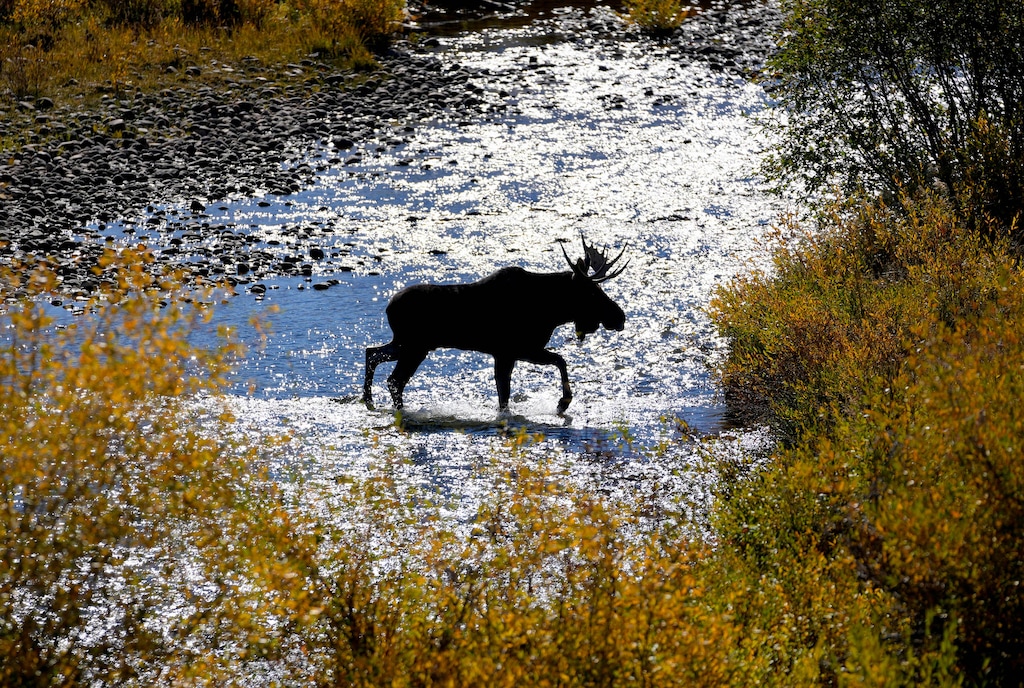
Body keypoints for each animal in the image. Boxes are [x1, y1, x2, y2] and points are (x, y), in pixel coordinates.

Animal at [362, 236, 628, 415]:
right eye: (592, 292)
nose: (620, 316)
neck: (551, 310)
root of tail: (388, 307)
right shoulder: (515, 350)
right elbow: (557, 363)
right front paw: (563, 402)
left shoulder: (511, 353)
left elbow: (505, 394)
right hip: (415, 347)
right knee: (394, 379)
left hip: (405, 343)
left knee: (372, 353)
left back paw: (369, 401)